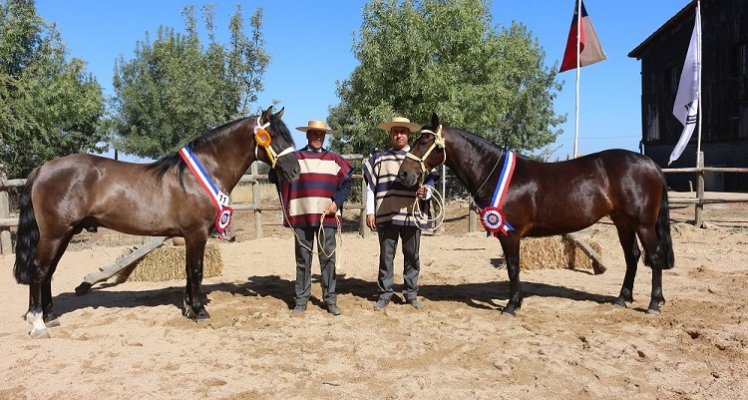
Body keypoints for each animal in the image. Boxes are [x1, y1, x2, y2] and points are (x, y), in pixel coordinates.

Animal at [13, 105, 300, 338]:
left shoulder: (189, 236)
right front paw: (199, 311)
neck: (197, 176)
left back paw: (50, 316)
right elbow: (196, 271)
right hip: (54, 234)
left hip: (65, 233)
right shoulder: (196, 233)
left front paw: (189, 308)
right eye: (274, 137)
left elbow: (189, 272)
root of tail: (43, 168)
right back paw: (38, 323)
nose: (295, 170)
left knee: (48, 272)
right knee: (38, 271)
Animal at [400, 114, 676, 318]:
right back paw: (622, 298)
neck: (496, 172)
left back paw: (653, 304)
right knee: (633, 256)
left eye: (424, 141)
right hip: (622, 222)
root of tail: (650, 164)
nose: (404, 174)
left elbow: (513, 267)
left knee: (654, 256)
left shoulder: (510, 234)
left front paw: (512, 306)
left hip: (643, 224)